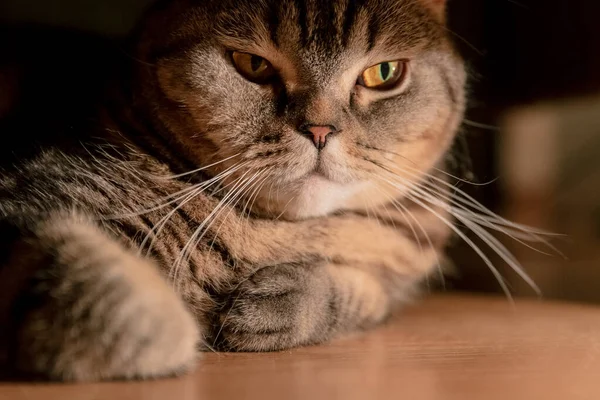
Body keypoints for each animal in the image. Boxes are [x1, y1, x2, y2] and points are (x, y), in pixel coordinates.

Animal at [0, 0, 468, 382]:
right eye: (252, 64)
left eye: (383, 73)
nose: (320, 130)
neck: (269, 236)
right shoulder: (43, 198)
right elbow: (100, 281)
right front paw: (176, 331)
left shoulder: (397, 261)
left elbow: (364, 292)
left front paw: (277, 302)